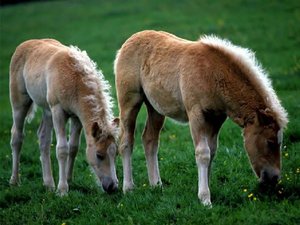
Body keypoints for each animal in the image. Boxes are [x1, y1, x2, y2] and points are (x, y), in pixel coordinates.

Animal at [9, 39, 117, 196]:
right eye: (99, 155)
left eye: (116, 154)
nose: (113, 187)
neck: (75, 80)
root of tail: (24, 44)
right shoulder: (58, 111)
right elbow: (62, 149)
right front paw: (62, 190)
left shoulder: (77, 117)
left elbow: (73, 147)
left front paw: (68, 179)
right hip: (20, 103)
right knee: (17, 136)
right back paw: (14, 181)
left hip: (47, 110)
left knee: (43, 138)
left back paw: (48, 184)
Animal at [113, 29, 288, 206]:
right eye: (270, 142)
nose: (274, 178)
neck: (212, 75)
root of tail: (130, 40)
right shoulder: (196, 115)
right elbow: (203, 153)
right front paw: (205, 198)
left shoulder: (216, 119)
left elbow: (212, 151)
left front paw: (207, 190)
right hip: (130, 101)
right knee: (126, 141)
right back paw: (128, 188)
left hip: (155, 107)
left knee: (150, 139)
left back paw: (156, 185)